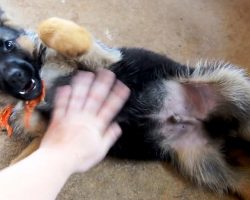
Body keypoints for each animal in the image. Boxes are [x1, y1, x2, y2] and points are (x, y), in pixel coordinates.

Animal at [0, 7, 250, 198]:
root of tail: (220, 128)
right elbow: (21, 164)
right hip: (207, 165)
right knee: (241, 179)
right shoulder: (48, 134)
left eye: (8, 45)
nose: (15, 77)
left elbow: (48, 26)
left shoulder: (104, 60)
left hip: (234, 85)